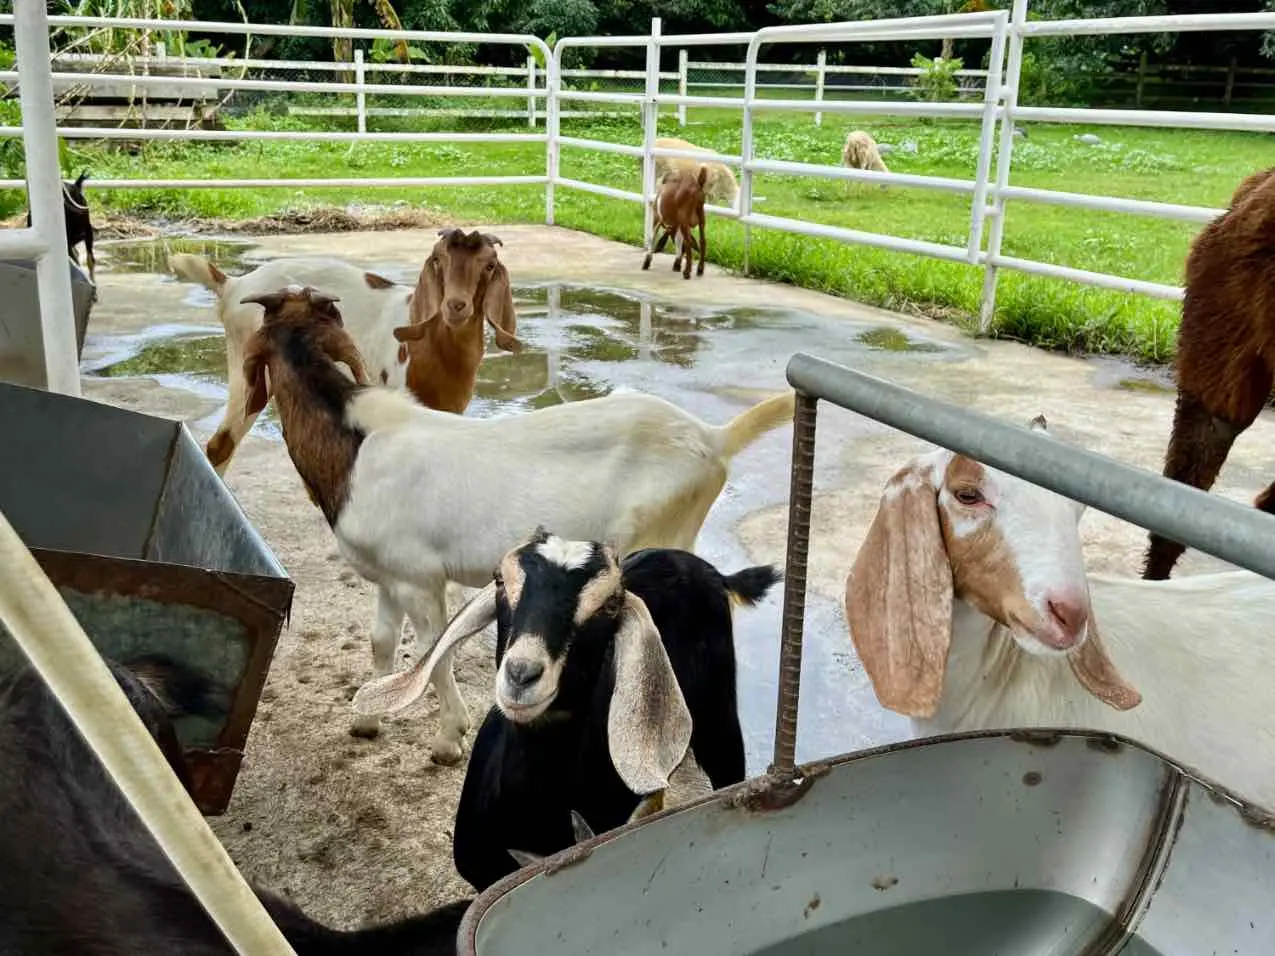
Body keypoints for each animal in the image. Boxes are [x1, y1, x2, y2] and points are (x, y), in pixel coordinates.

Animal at [169, 233, 519, 476]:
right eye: (437, 261)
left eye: (489, 266)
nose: (456, 306)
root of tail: (232, 285)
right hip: (249, 367)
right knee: (222, 443)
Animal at [240, 285, 795, 764]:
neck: (354, 447)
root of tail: (713, 437)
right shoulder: (389, 575)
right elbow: (382, 640)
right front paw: (367, 720)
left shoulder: (420, 580)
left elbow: (435, 653)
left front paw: (448, 741)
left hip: (662, 530)